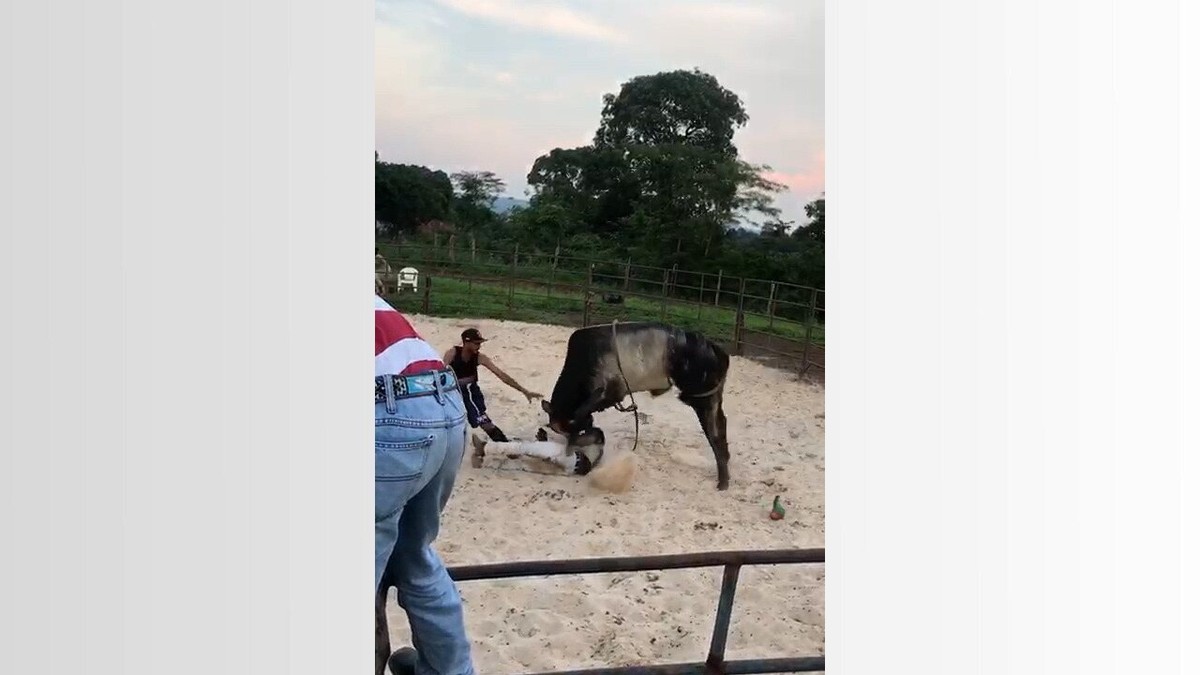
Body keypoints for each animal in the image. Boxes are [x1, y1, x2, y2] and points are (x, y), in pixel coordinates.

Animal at [542, 319, 729, 487]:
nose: (570, 450)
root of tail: (718, 351)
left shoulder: (608, 392)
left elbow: (582, 411)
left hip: (701, 399)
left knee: (714, 434)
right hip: (712, 400)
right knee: (720, 429)